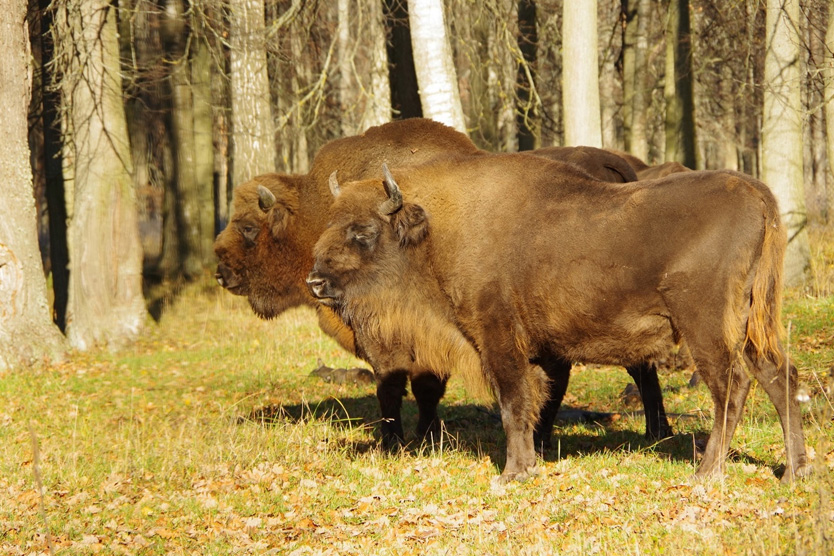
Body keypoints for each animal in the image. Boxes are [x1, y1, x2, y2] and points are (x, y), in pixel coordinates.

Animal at [308, 155, 808, 482]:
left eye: (363, 231)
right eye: (329, 223)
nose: (314, 281)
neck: (439, 229)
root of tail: (757, 194)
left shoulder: (497, 339)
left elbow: (513, 403)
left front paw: (513, 473)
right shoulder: (538, 351)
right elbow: (535, 403)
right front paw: (530, 462)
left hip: (706, 326)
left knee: (732, 386)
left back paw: (707, 473)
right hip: (751, 324)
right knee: (779, 376)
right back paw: (794, 471)